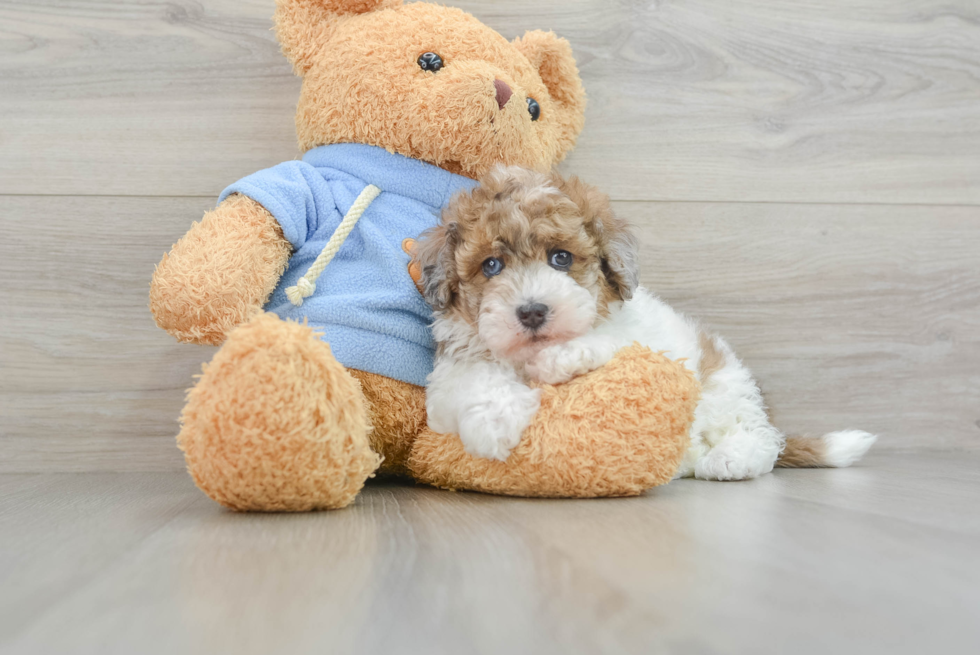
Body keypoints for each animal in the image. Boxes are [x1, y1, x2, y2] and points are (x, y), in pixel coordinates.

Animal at [414, 167, 872, 480]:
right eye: (491, 266)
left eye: (561, 257)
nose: (531, 311)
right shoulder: (453, 366)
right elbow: (473, 378)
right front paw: (493, 423)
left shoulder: (642, 339)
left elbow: (608, 340)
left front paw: (559, 358)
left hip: (725, 388)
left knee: (760, 438)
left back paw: (731, 458)